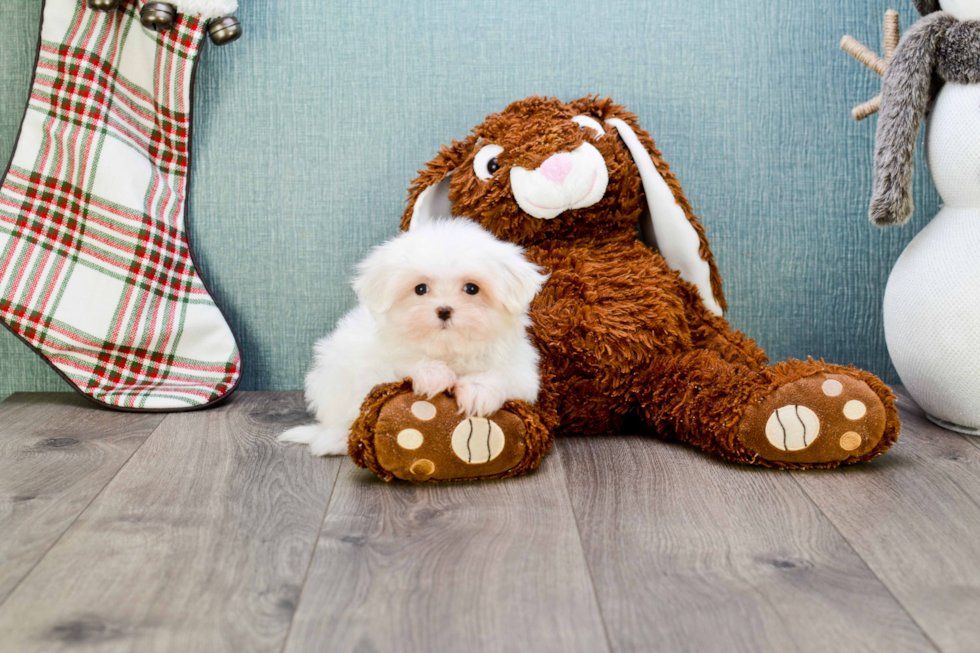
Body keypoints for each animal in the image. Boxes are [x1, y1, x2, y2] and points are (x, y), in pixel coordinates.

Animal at [280, 218, 548, 454]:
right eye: (420, 289)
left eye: (472, 288)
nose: (444, 310)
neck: (448, 350)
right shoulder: (379, 361)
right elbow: (400, 364)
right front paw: (432, 374)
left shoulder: (522, 371)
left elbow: (503, 376)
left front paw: (477, 391)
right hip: (334, 380)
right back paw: (334, 440)